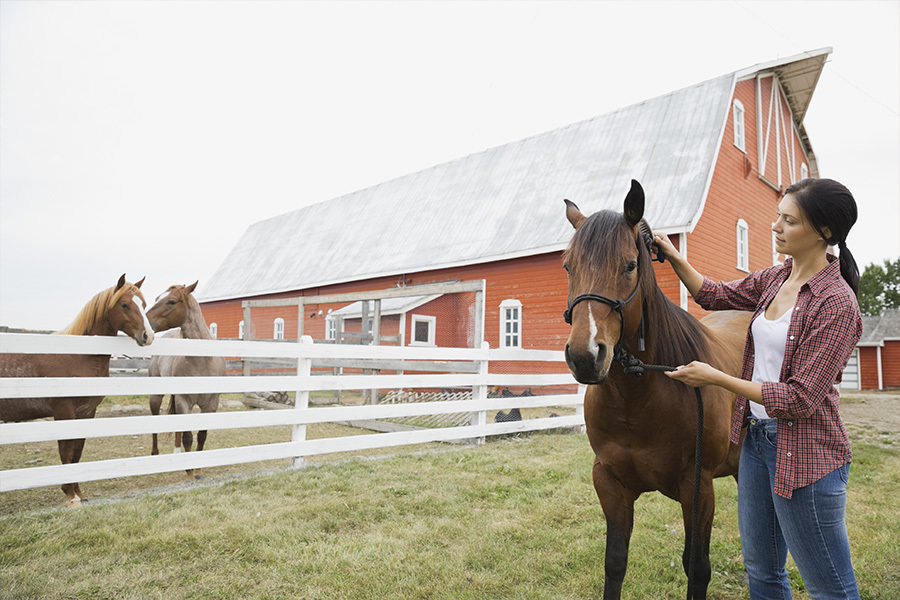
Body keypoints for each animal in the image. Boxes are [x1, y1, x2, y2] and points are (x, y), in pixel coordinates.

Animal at [0, 276, 153, 506]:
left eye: (143, 305)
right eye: (125, 304)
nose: (148, 336)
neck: (78, 354)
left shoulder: (86, 412)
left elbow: (77, 452)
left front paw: (79, 492)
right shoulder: (64, 411)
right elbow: (66, 451)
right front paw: (70, 496)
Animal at [147, 278, 225, 480]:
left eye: (171, 301)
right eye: (157, 298)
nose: (145, 323)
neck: (202, 360)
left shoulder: (211, 404)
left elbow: (202, 436)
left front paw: (198, 470)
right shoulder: (184, 401)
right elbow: (188, 437)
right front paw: (190, 472)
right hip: (156, 396)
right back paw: (155, 455)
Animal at [564, 179, 752, 600]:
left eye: (630, 265)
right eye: (568, 266)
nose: (585, 356)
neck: (637, 402)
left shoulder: (698, 489)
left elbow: (697, 568)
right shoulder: (610, 485)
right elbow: (615, 563)